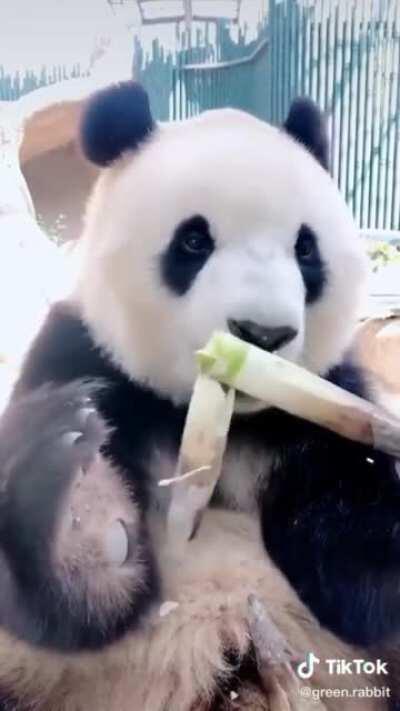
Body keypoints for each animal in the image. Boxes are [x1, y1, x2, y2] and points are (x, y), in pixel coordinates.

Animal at [0, 80, 399, 711]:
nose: (262, 334)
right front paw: (74, 504)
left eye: (305, 249)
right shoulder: (81, 359)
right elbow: (83, 608)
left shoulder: (324, 401)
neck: (224, 412)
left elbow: (357, 573)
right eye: (193, 240)